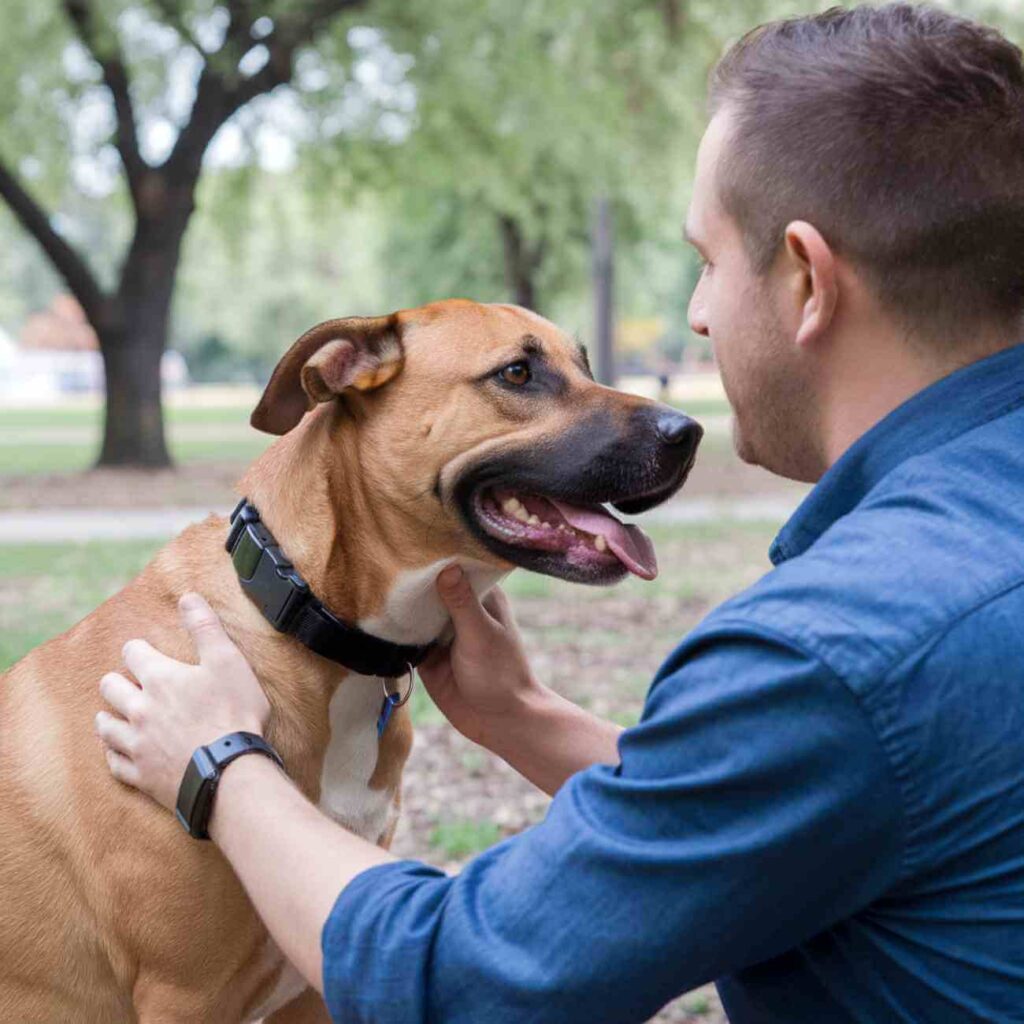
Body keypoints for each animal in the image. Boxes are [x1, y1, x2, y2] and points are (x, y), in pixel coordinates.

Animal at [0, 299, 704, 1019]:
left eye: (584, 365)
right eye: (517, 372)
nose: (690, 432)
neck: (299, 612)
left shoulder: (317, 964)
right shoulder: (184, 993)